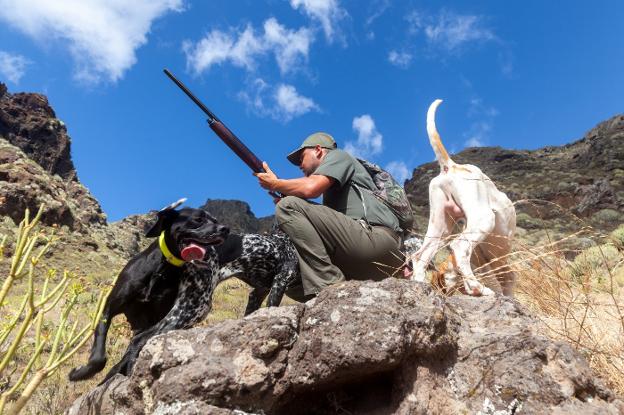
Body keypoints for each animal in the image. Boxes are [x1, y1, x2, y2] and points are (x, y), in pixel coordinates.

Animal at [69, 200, 229, 386]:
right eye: (198, 219)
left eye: (216, 220)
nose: (225, 229)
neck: (162, 267)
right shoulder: (108, 308)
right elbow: (99, 356)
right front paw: (81, 373)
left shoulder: (160, 320)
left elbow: (134, 346)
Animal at [408, 99, 516, 298]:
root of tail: (450, 166)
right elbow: (509, 280)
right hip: (483, 219)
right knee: (459, 248)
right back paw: (478, 288)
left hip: (440, 227)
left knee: (420, 256)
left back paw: (421, 286)